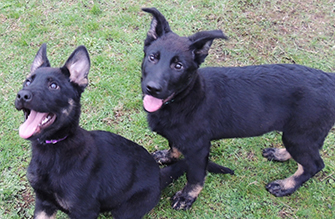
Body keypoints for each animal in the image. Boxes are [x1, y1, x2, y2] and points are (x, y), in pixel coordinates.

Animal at [15, 44, 194, 219]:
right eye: (27, 82)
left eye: (53, 86)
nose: (21, 95)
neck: (54, 147)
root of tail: (159, 177)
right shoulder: (43, 204)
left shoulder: (84, 210)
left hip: (125, 211)